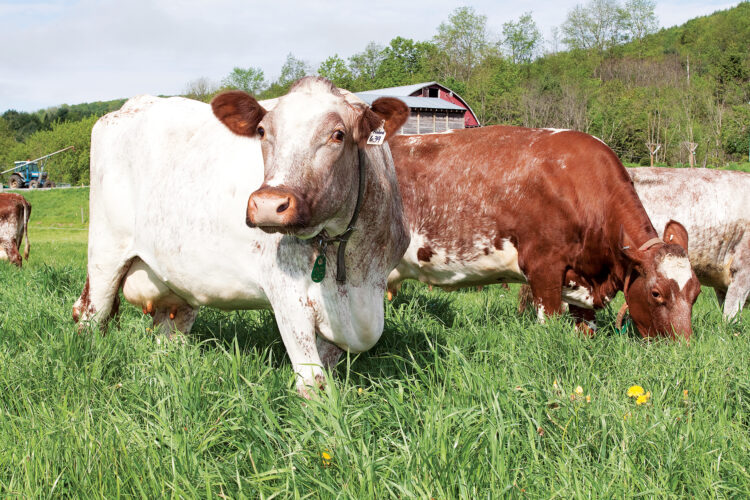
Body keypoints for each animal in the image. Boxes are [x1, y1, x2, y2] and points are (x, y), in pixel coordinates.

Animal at [73, 77, 410, 395]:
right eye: (262, 131)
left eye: (338, 135)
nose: (268, 205)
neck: (351, 265)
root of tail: (135, 103)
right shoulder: (286, 292)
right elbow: (312, 382)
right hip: (104, 256)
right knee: (89, 314)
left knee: (169, 333)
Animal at [386, 126, 701, 340]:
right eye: (656, 293)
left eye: (696, 292)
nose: (681, 349)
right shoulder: (544, 270)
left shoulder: (582, 276)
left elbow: (586, 330)